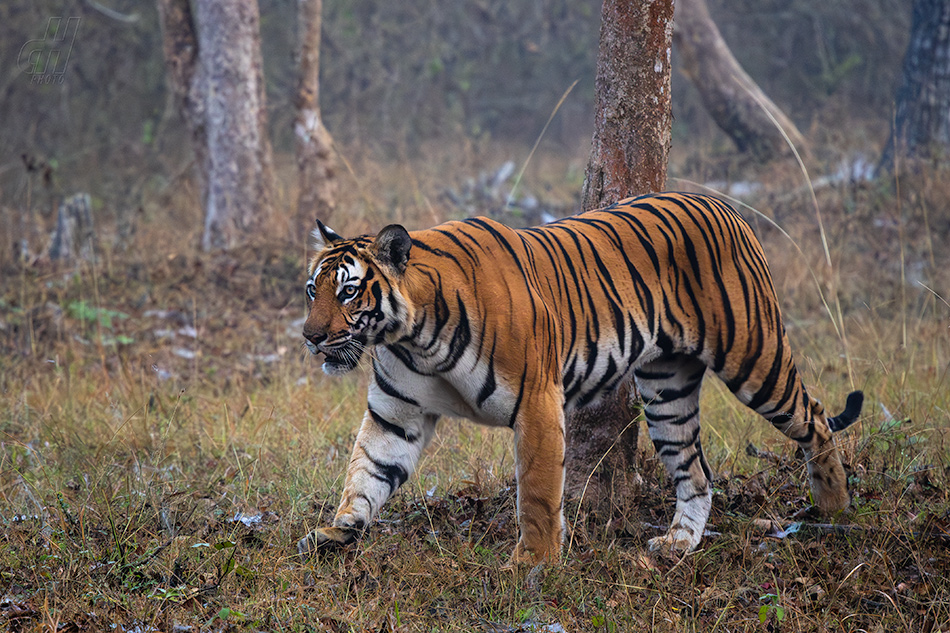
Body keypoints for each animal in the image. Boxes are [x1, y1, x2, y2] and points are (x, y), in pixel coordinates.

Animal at [302, 191, 868, 564]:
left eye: (348, 291)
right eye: (313, 289)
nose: (310, 336)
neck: (413, 338)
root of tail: (725, 205)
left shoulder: (536, 401)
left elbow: (536, 492)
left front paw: (533, 564)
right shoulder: (397, 413)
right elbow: (366, 473)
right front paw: (336, 531)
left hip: (755, 358)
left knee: (815, 418)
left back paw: (836, 508)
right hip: (667, 391)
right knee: (696, 470)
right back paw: (678, 543)